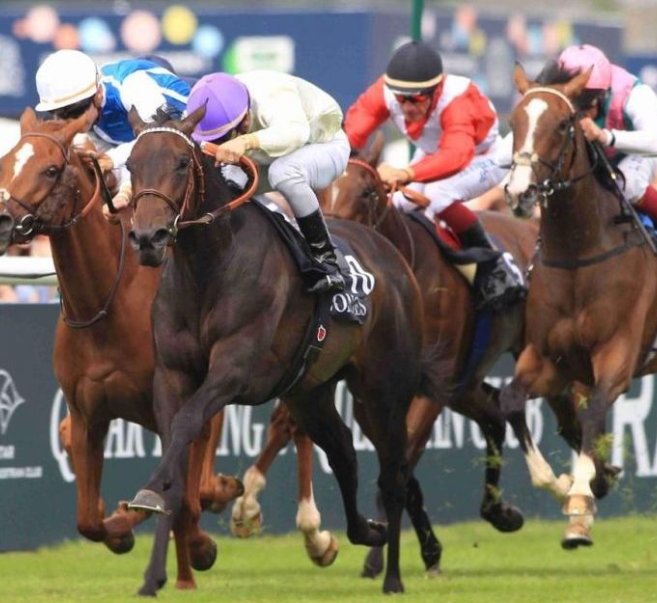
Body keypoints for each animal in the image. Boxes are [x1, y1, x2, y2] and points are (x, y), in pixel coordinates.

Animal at [0, 108, 243, 596]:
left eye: (50, 169)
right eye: (4, 162)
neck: (105, 305)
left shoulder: (175, 406)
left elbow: (181, 500)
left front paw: (199, 545)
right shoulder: (87, 414)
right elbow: (88, 520)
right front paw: (122, 528)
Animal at [122, 107, 444, 596]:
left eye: (180, 163)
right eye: (130, 165)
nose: (148, 237)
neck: (209, 267)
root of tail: (393, 256)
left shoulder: (233, 371)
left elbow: (187, 424)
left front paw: (149, 498)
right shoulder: (171, 376)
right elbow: (174, 454)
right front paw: (152, 574)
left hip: (385, 390)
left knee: (394, 474)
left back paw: (390, 576)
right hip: (310, 393)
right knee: (344, 450)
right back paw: (361, 531)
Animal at [500, 65, 656, 548]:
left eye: (563, 125)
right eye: (513, 122)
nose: (519, 193)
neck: (579, 252)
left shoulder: (619, 352)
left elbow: (594, 412)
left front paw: (581, 499)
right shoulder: (549, 359)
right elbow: (512, 403)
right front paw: (568, 485)